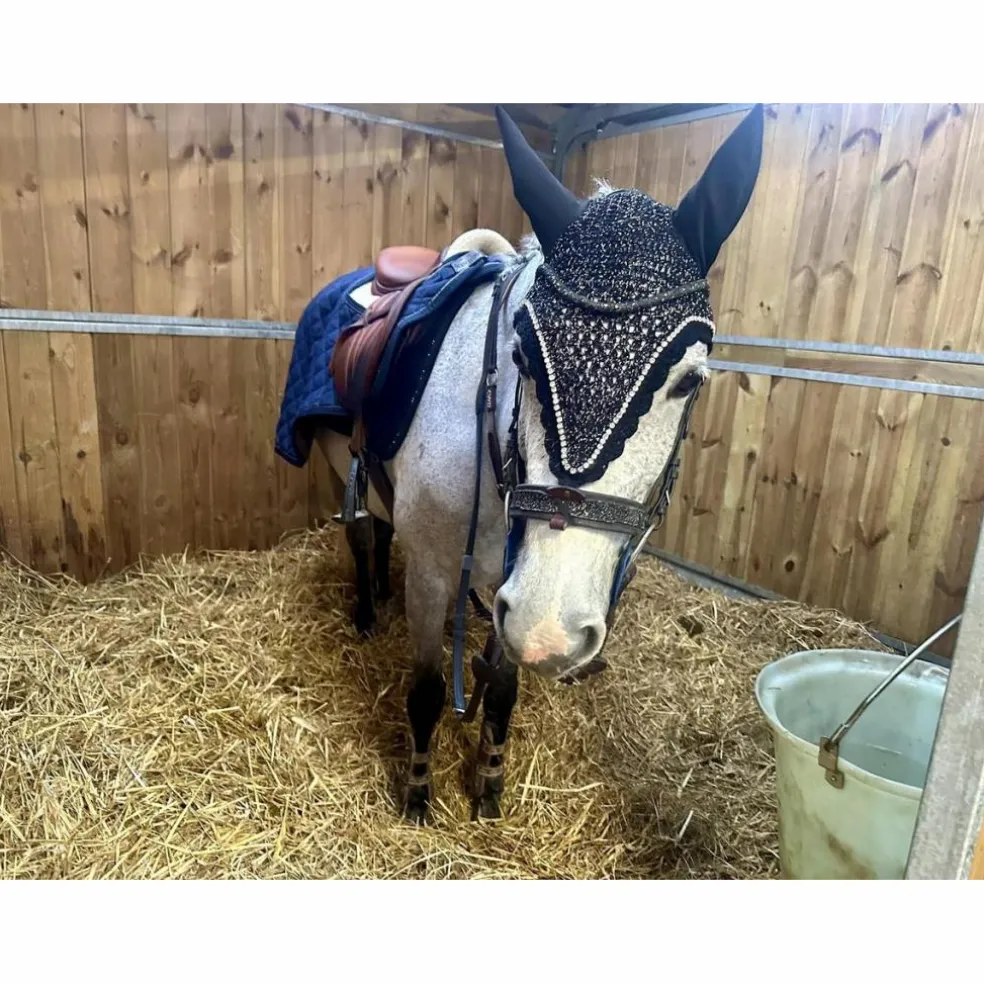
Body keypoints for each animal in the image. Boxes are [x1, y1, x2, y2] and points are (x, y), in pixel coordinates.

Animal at [301, 105, 764, 823]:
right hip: (334, 465)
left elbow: (501, 688)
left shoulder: (508, 591)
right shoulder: (438, 572)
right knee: (361, 536)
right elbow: (427, 691)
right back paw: (367, 611)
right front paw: (418, 794)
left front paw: (489, 785)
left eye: (689, 381)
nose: (553, 629)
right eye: (522, 355)